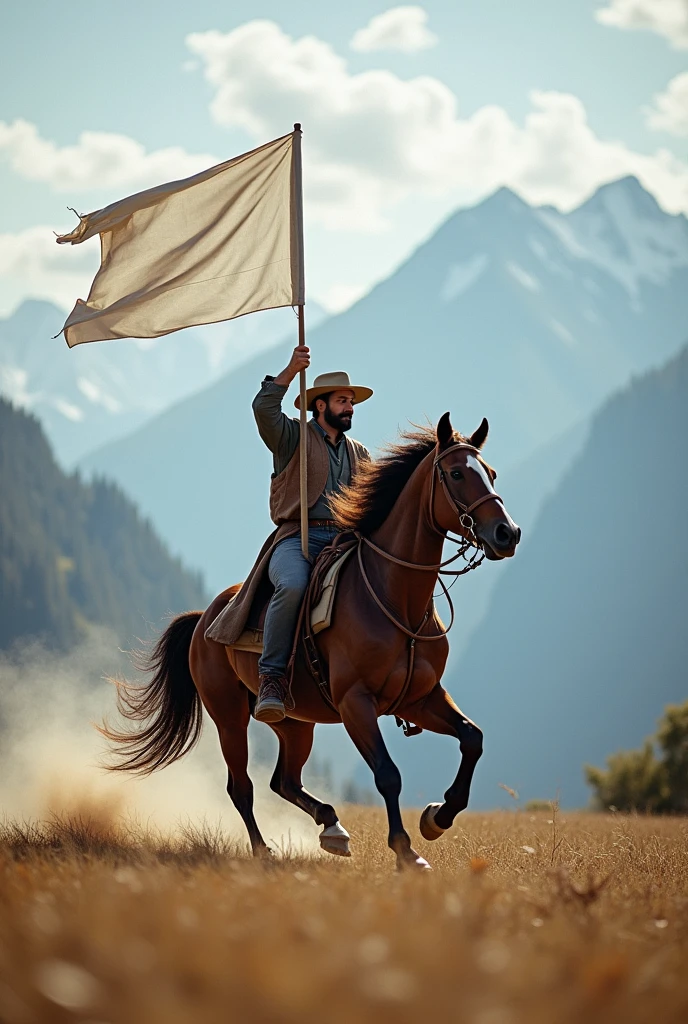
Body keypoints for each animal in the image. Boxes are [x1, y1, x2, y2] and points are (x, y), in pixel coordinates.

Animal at [100, 413, 522, 872]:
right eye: (457, 473)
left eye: (491, 473)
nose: (507, 533)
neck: (394, 596)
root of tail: (204, 620)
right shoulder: (356, 703)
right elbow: (387, 774)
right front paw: (405, 850)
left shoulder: (420, 699)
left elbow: (472, 739)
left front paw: (437, 818)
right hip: (229, 716)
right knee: (241, 786)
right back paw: (263, 850)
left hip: (295, 722)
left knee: (284, 780)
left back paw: (332, 827)